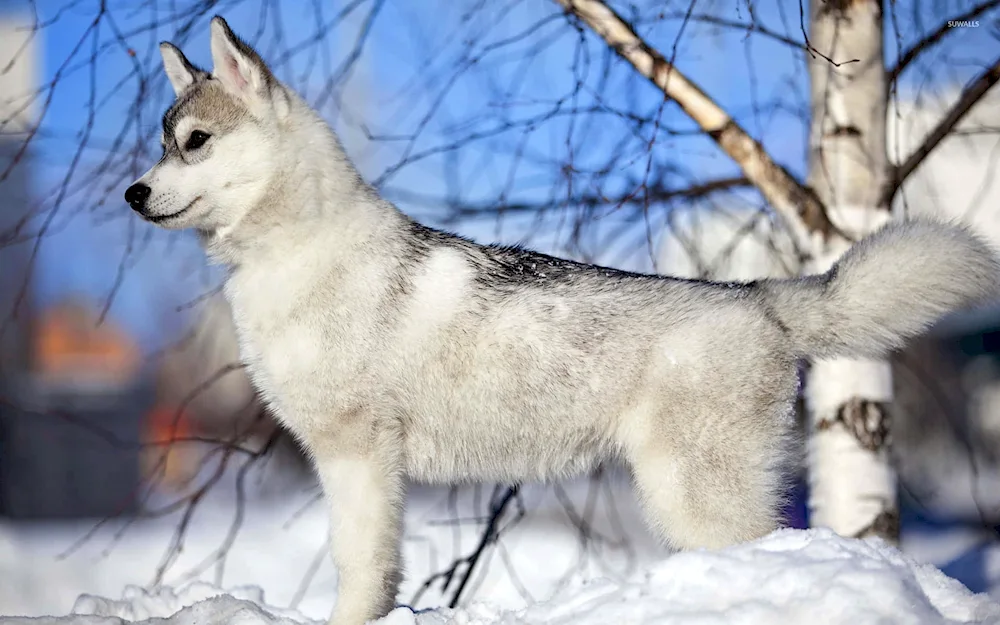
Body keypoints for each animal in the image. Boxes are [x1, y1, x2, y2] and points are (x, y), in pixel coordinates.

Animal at [129, 17, 1000, 620]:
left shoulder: (357, 453)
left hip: (692, 491)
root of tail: (757, 294)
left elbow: (359, 565)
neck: (297, 250)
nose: (134, 193)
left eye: (195, 142)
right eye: (162, 145)